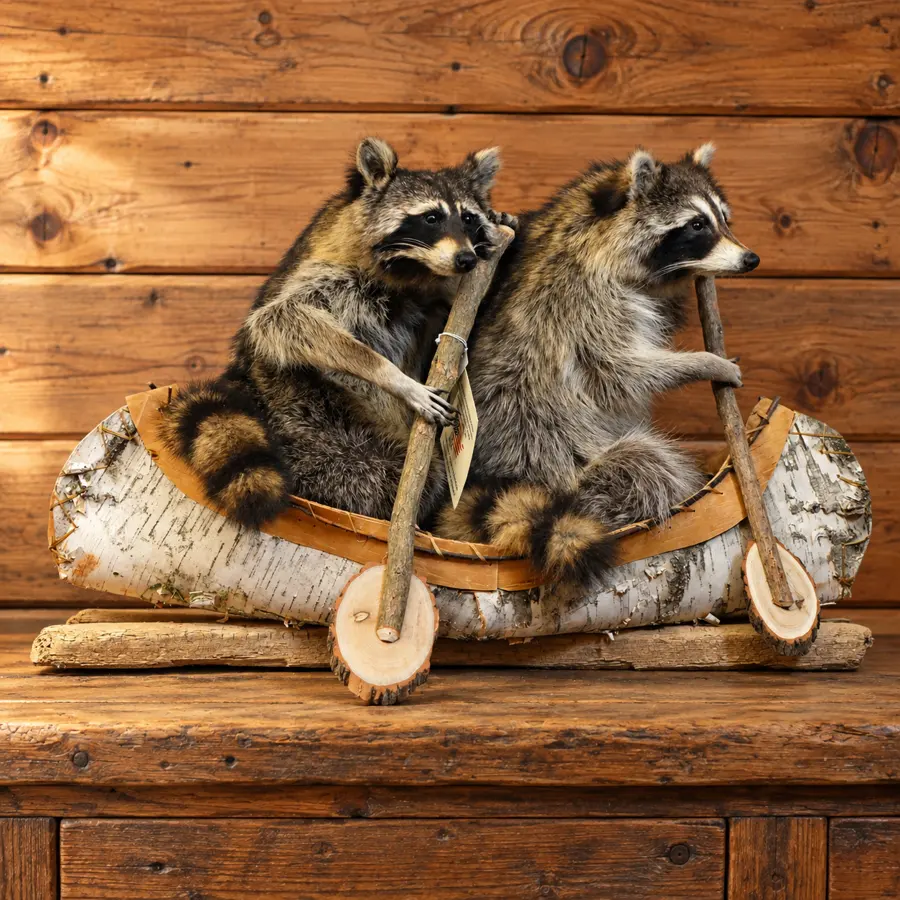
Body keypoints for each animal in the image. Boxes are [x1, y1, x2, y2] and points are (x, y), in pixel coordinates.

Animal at [160, 138, 505, 527]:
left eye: (468, 218)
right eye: (431, 217)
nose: (466, 259)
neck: (414, 268)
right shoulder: (332, 272)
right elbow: (279, 319)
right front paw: (395, 378)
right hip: (305, 411)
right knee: (369, 470)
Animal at [437, 143, 759, 585]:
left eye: (723, 218)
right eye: (696, 224)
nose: (750, 259)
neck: (597, 221)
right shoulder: (583, 297)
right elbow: (620, 368)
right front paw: (705, 363)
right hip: (549, 451)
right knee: (645, 468)